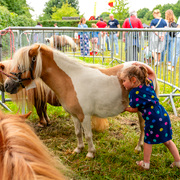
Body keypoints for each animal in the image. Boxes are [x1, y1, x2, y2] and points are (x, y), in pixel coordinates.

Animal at [4, 43, 158, 158]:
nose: (6, 85)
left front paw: (90, 153)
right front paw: (78, 149)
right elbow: (78, 133)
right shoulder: (74, 115)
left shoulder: (85, 116)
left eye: (20, 65)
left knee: (143, 127)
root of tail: (144, 68)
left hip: (142, 111)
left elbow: (88, 135)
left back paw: (138, 147)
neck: (72, 80)